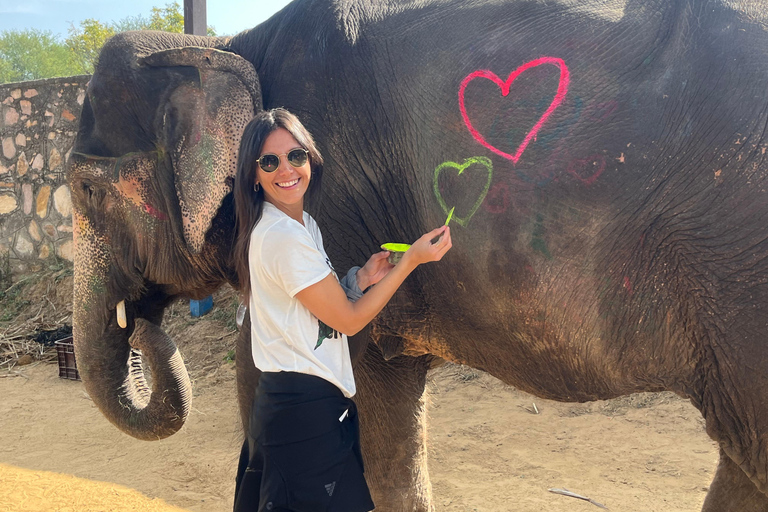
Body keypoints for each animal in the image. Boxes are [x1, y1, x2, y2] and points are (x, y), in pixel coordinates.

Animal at [64, 0, 768, 510]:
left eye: (85, 191)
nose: (144, 322)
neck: (229, 44)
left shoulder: (338, 200)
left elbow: (336, 388)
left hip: (737, 280)